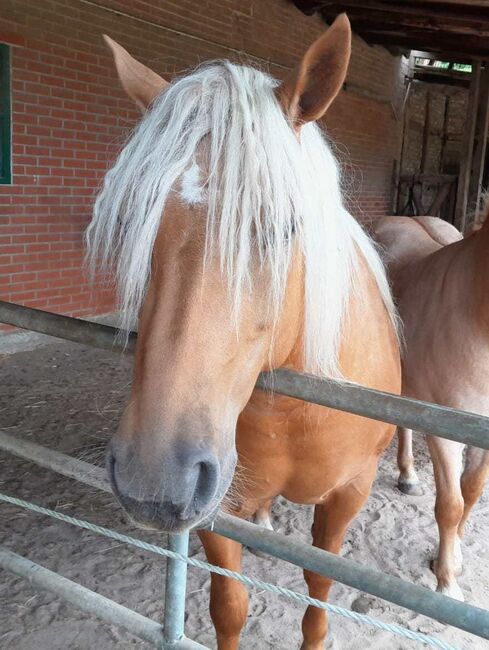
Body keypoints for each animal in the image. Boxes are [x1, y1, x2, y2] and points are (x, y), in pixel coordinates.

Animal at [88, 16, 400, 648]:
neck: (296, 413)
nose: (153, 479)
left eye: (283, 227)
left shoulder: (348, 495)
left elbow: (319, 592)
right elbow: (228, 606)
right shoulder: (216, 499)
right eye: (133, 222)